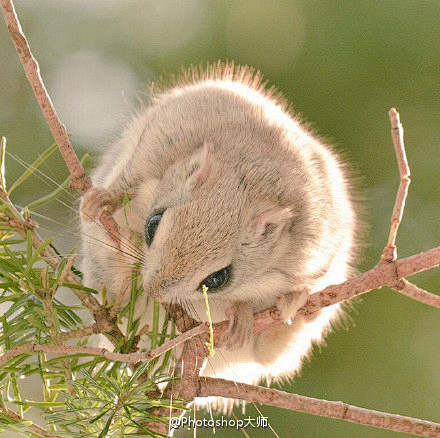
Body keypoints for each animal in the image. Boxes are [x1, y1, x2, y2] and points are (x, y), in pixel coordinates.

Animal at [79, 62, 360, 410]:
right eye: (152, 224)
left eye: (216, 280)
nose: (154, 291)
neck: (252, 177)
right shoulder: (156, 145)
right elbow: (129, 180)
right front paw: (102, 200)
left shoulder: (309, 255)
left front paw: (243, 310)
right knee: (117, 297)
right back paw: (122, 257)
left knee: (271, 352)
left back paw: (291, 310)